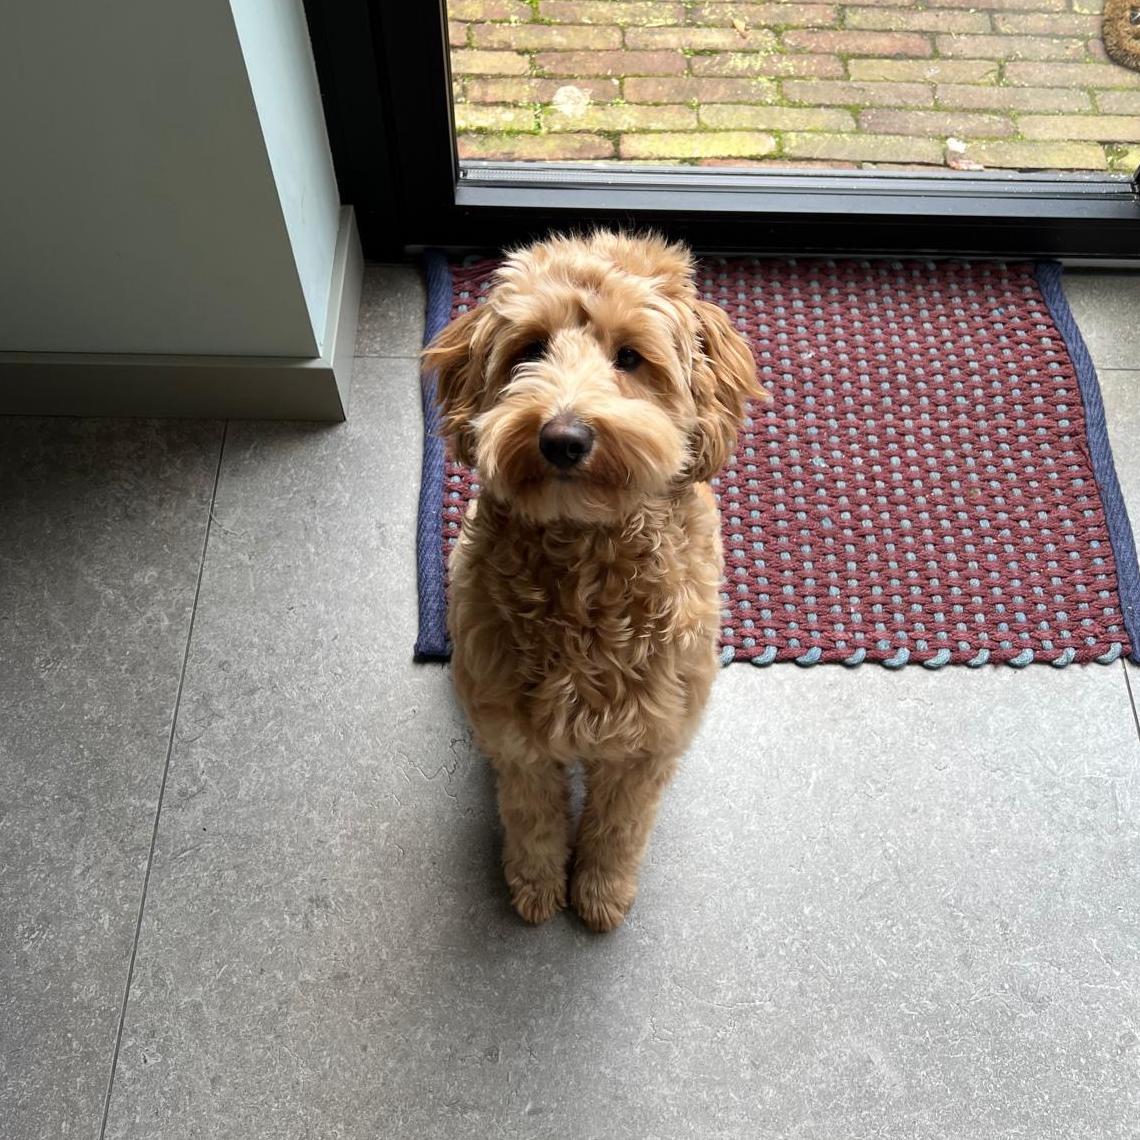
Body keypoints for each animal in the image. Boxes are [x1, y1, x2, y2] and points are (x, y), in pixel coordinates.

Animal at [424, 231, 767, 932]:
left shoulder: (648, 742)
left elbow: (618, 827)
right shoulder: (519, 742)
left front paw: (602, 889)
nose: (563, 438)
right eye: (530, 349)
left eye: (630, 357)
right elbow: (531, 819)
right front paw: (536, 885)